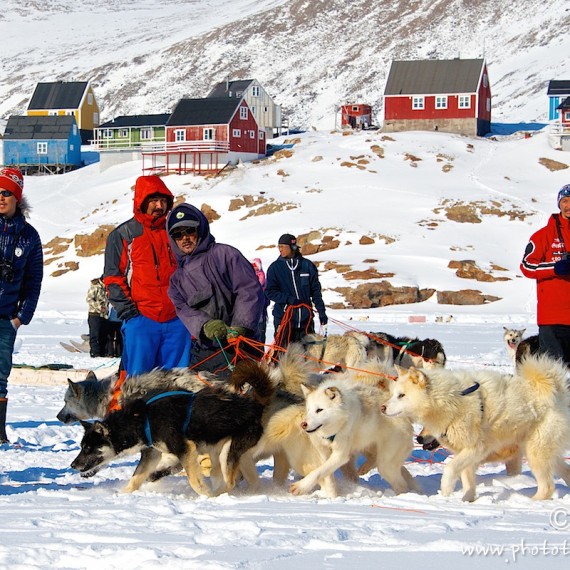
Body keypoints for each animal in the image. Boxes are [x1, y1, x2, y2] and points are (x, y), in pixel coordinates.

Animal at [70, 362, 276, 494]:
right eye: (81, 447)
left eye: (88, 448)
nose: (73, 465)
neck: (141, 419)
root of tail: (255, 404)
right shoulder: (152, 453)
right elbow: (136, 477)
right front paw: (123, 493)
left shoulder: (185, 449)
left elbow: (194, 480)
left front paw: (204, 494)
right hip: (224, 452)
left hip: (227, 452)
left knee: (230, 481)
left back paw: (217, 494)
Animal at [288, 368, 418, 492]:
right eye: (308, 410)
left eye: (319, 410)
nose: (303, 424)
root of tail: (405, 417)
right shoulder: (324, 453)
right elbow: (325, 473)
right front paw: (331, 493)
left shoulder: (340, 456)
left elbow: (318, 472)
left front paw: (301, 486)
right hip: (368, 449)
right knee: (392, 467)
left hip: (385, 464)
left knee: (401, 484)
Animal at [380, 352, 568, 500]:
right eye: (394, 394)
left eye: (401, 395)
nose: (382, 408)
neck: (451, 400)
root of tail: (557, 391)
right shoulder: (465, 453)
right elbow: (467, 480)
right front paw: (467, 501)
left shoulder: (476, 448)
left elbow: (450, 468)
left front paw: (446, 489)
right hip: (546, 453)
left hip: (536, 453)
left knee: (547, 487)